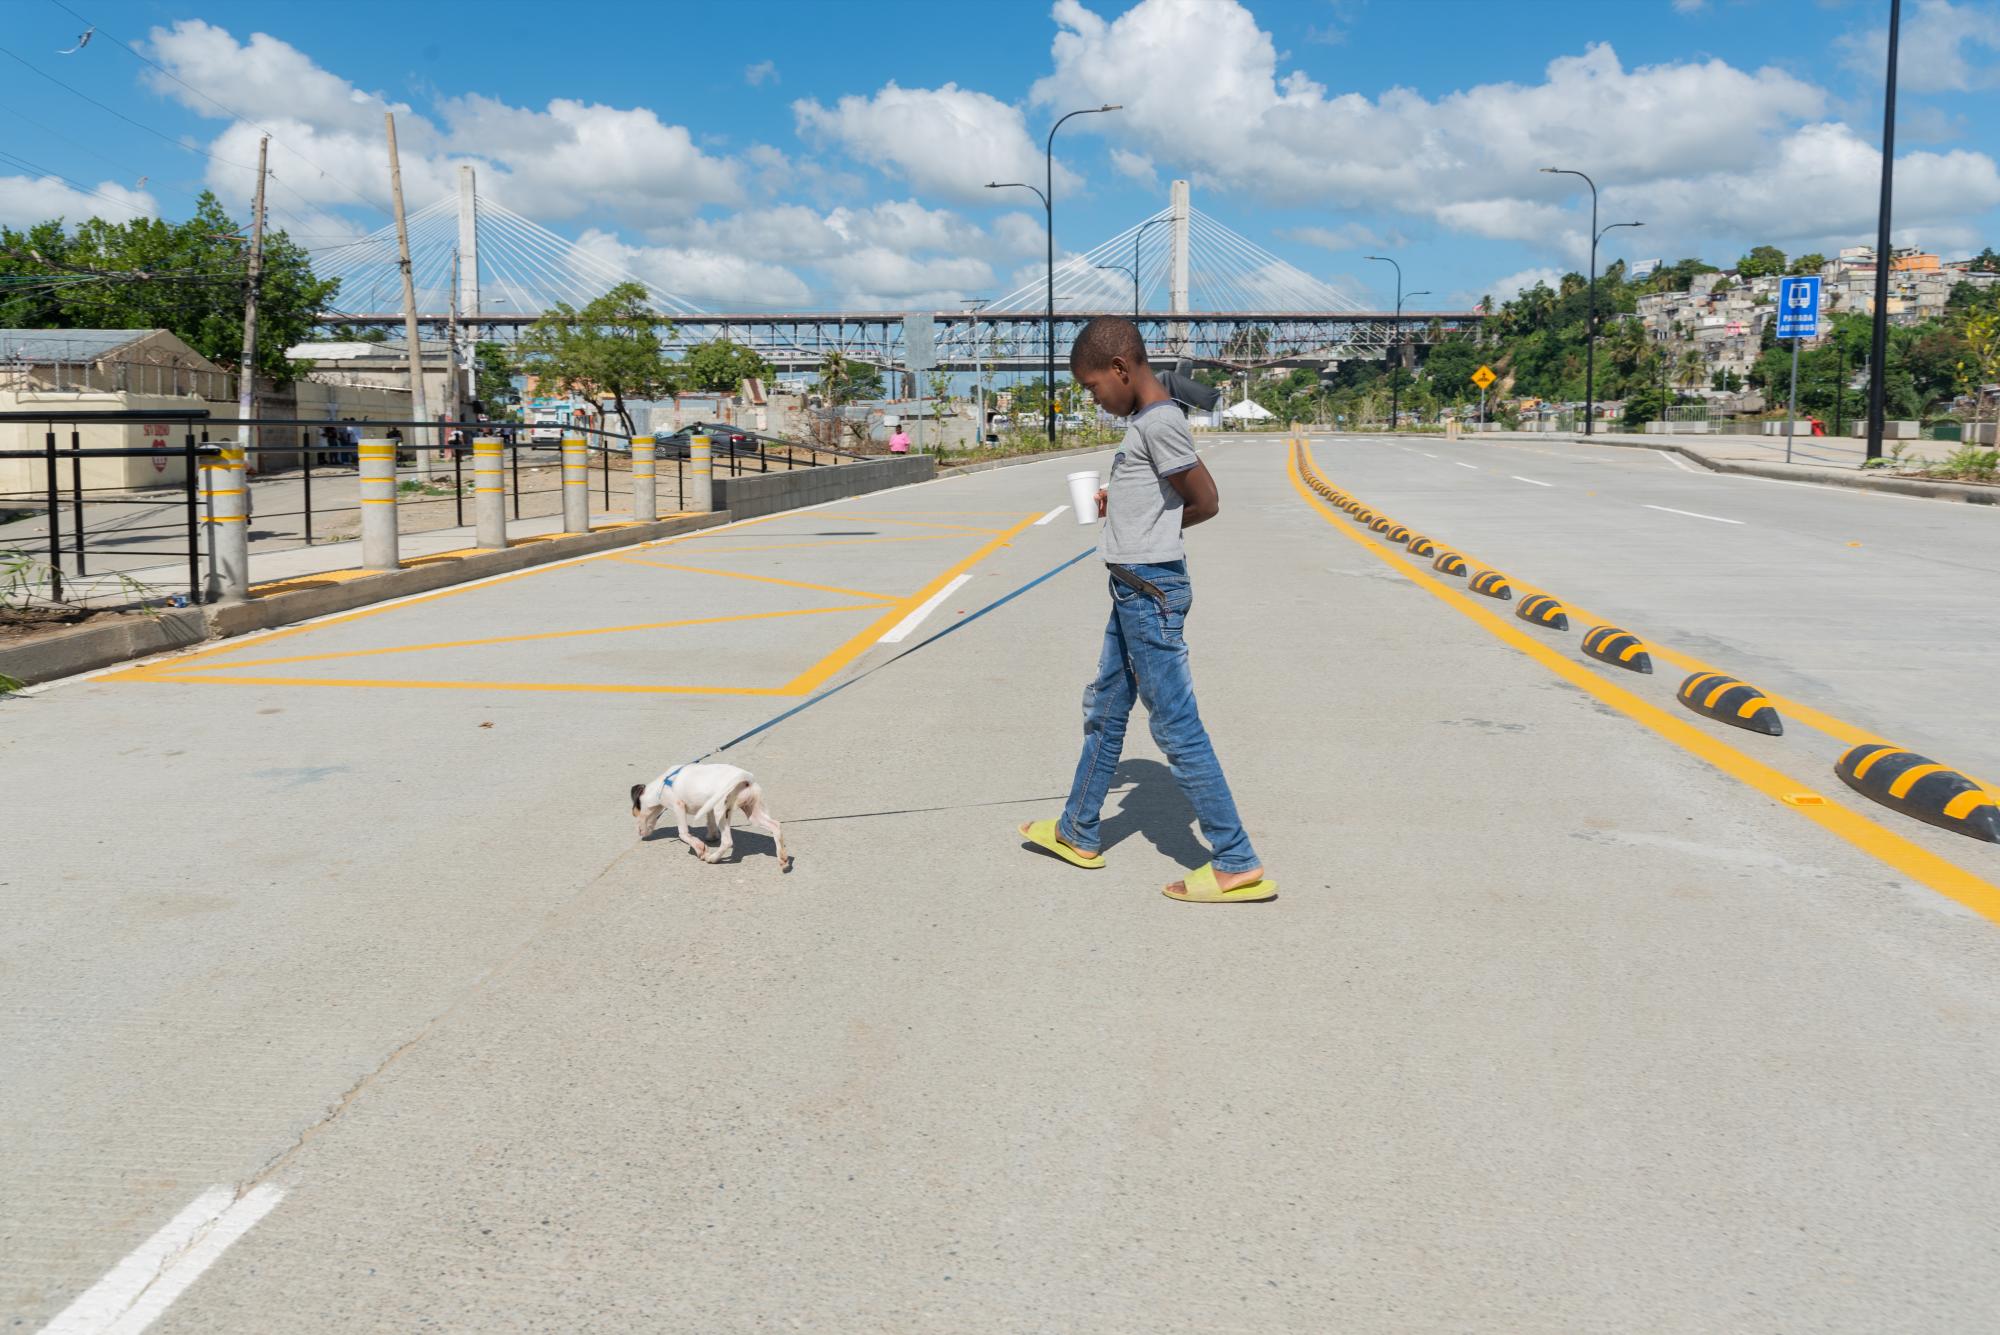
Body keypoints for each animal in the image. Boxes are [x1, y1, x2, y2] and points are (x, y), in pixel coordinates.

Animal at [632, 767, 788, 871]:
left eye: (635, 812)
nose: (639, 833)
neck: (661, 786)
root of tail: (746, 777)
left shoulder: (678, 806)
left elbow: (683, 833)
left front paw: (700, 848)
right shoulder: (709, 806)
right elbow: (710, 823)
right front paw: (711, 837)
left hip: (722, 812)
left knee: (727, 841)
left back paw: (713, 858)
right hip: (753, 813)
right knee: (776, 826)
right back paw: (783, 859)